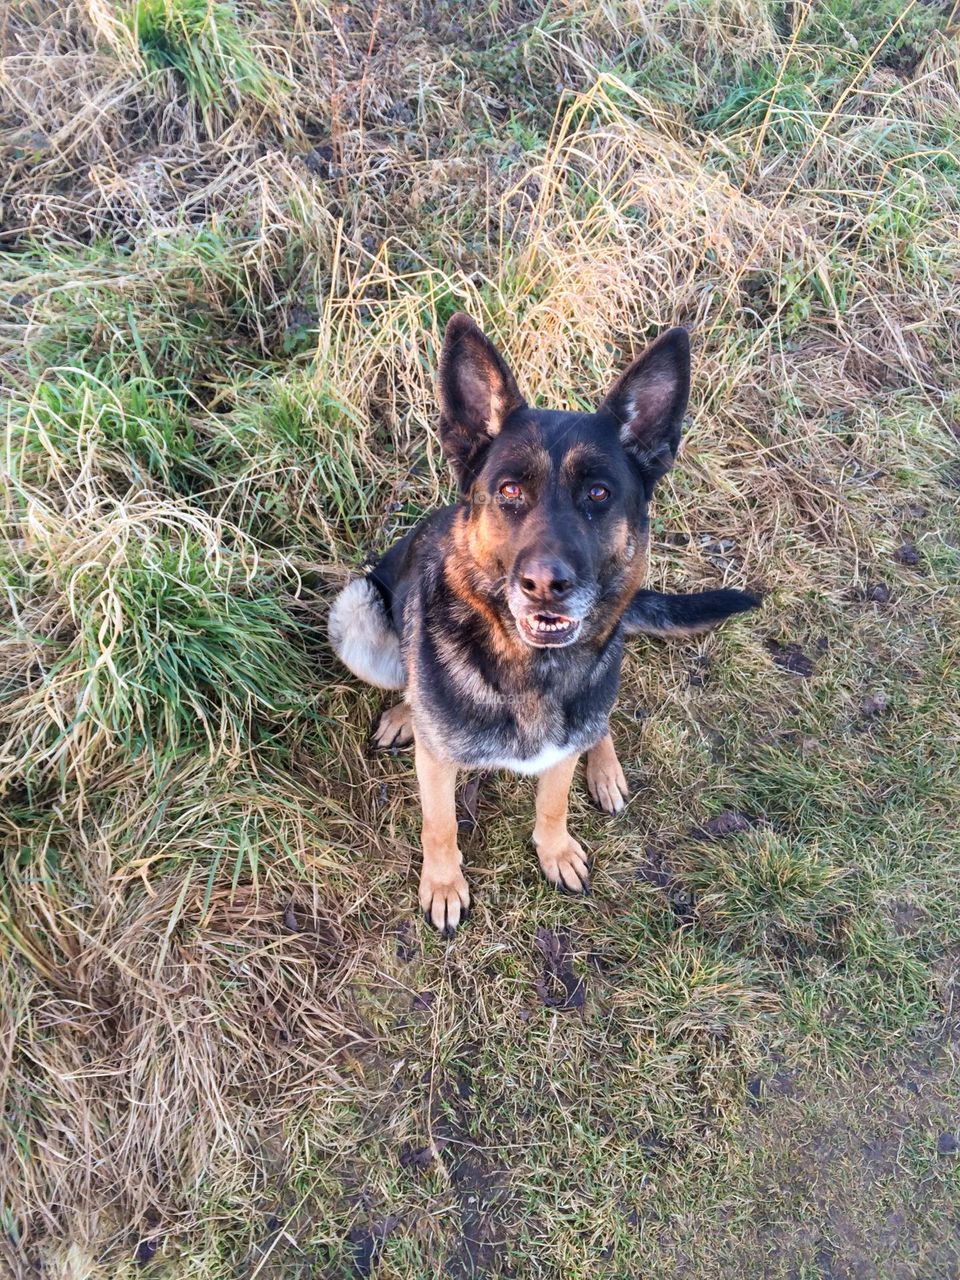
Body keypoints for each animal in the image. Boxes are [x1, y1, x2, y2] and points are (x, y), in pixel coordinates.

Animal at [330, 317, 757, 942]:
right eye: (510, 491)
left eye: (598, 493)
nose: (544, 584)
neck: (533, 670)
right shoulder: (437, 769)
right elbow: (440, 824)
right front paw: (444, 885)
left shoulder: (560, 749)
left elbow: (553, 802)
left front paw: (555, 851)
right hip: (357, 617)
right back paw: (408, 713)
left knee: (598, 720)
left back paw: (604, 766)